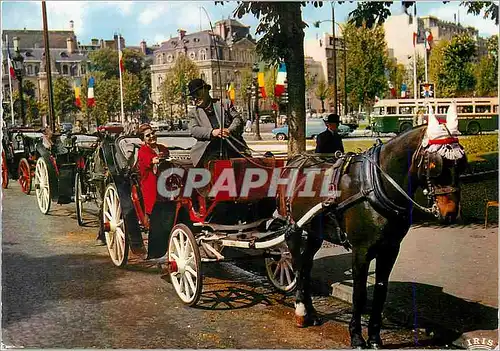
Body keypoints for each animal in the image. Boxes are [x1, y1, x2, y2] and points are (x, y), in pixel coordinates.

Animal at [280, 102, 466, 350]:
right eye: (435, 164)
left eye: (461, 163)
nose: (450, 213)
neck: (376, 184)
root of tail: (294, 161)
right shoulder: (361, 250)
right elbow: (359, 294)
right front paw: (357, 336)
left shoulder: (390, 249)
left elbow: (380, 290)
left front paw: (376, 337)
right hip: (294, 227)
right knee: (298, 264)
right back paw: (301, 310)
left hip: (315, 232)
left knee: (307, 264)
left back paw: (311, 312)